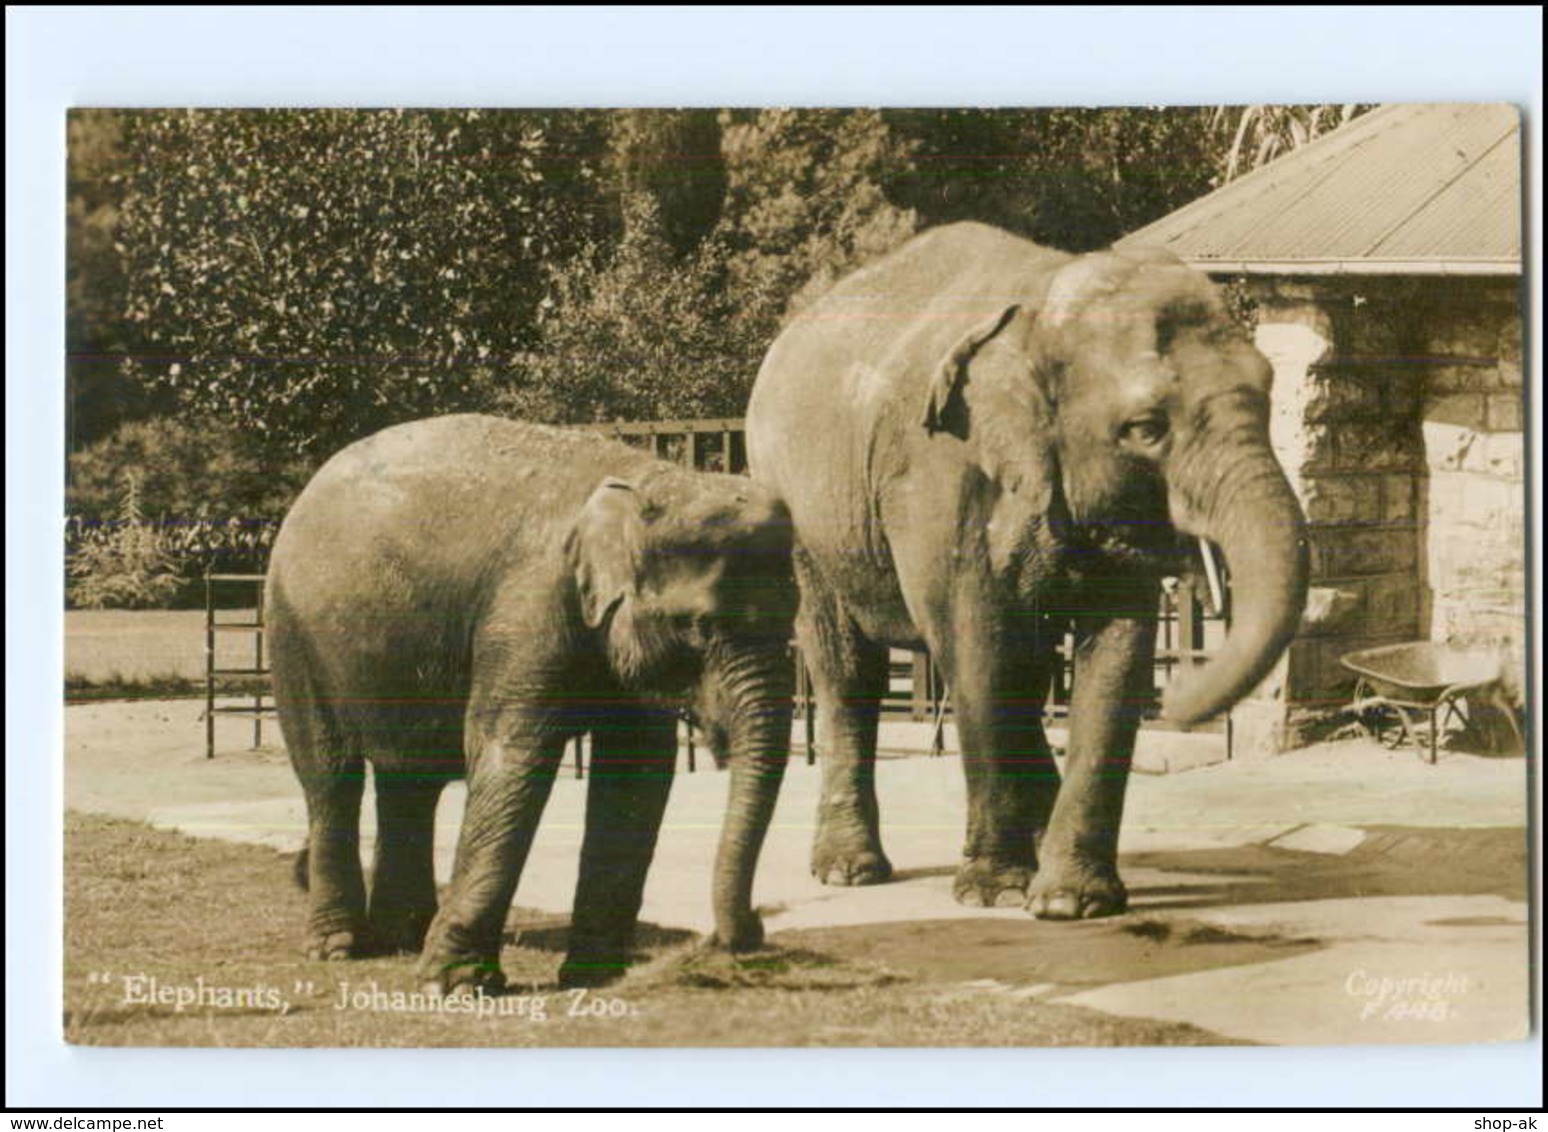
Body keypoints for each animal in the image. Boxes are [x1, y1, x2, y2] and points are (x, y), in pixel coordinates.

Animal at [267, 415, 798, 991]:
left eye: (795, 616)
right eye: (697, 626)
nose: (750, 930)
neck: (648, 480)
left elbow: (636, 772)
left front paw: (592, 979)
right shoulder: (527, 608)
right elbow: (513, 753)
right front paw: (455, 985)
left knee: (410, 780)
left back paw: (401, 937)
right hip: (293, 634)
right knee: (331, 777)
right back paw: (337, 948)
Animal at [746, 219, 1306, 922]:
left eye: (1267, 390)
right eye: (1145, 428)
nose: (1179, 693)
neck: (1044, 305)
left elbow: (1116, 655)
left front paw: (1073, 903)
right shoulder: (944, 475)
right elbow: (978, 647)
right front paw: (998, 893)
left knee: (1029, 669)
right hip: (795, 510)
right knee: (847, 669)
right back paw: (851, 872)